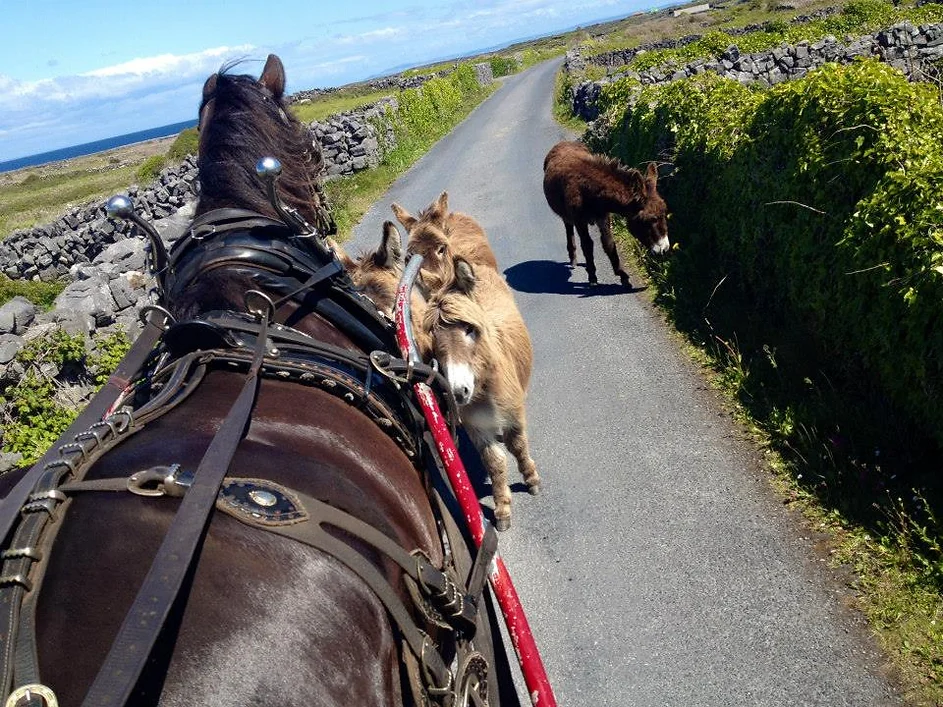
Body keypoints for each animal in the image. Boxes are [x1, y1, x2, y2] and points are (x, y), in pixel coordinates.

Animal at [544, 141, 668, 288]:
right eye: (650, 219)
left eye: (665, 212)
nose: (665, 249)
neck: (590, 189)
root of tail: (564, 143)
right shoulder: (580, 221)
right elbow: (587, 245)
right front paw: (592, 276)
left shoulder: (603, 217)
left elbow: (609, 244)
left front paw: (622, 275)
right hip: (566, 214)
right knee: (569, 228)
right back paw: (573, 258)